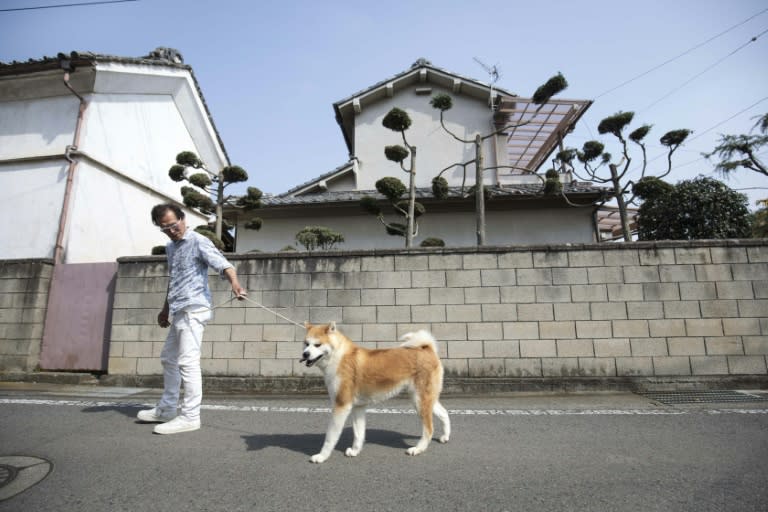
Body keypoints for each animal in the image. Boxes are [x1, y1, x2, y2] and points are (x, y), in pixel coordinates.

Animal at [296, 324, 448, 464]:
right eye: (306, 343)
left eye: (317, 344)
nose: (305, 354)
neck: (338, 357)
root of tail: (427, 348)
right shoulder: (358, 407)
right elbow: (359, 433)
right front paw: (355, 451)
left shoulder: (341, 405)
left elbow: (330, 437)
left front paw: (321, 456)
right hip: (425, 399)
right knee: (444, 413)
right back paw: (445, 436)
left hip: (419, 401)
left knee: (429, 429)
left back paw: (418, 449)